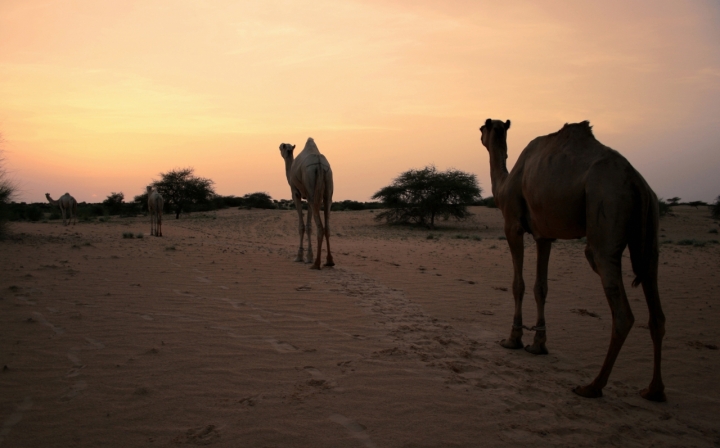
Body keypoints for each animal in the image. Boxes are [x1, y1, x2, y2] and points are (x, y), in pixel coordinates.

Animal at [278, 137, 334, 270]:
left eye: (281, 147)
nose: (279, 146)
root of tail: (319, 163)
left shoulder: (296, 194)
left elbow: (302, 226)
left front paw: (300, 256)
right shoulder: (307, 196)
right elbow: (309, 226)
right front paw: (309, 256)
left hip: (310, 183)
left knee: (320, 227)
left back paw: (316, 264)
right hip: (327, 183)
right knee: (327, 224)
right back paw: (329, 261)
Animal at [480, 117, 668, 400]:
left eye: (482, 128)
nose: (480, 134)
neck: (504, 185)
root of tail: (637, 183)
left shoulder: (512, 225)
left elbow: (518, 285)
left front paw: (513, 339)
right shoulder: (544, 235)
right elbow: (541, 287)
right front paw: (538, 344)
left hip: (607, 206)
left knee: (621, 309)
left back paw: (592, 386)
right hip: (650, 228)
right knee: (653, 295)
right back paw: (653, 390)